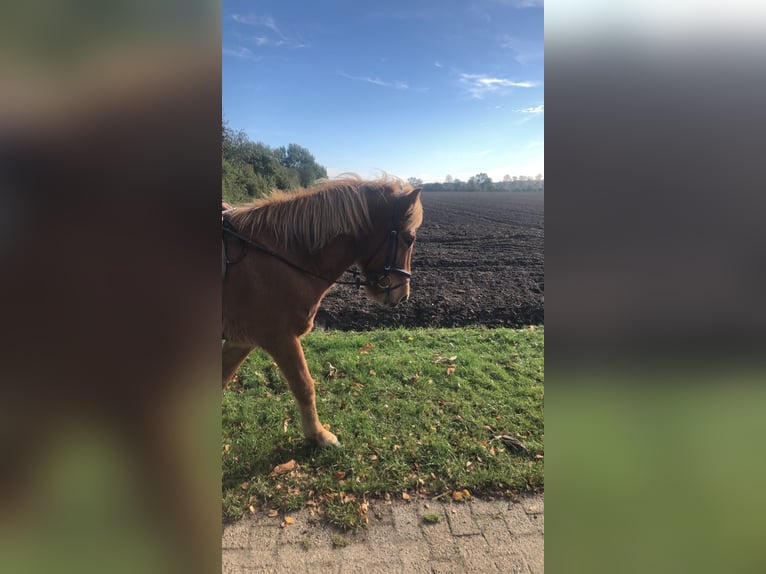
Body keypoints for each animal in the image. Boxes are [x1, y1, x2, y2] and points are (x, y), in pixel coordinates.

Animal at [222, 178, 426, 448]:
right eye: (408, 238)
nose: (402, 295)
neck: (283, 256)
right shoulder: (280, 338)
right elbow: (304, 386)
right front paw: (319, 435)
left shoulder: (241, 340)